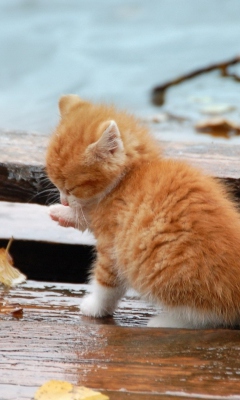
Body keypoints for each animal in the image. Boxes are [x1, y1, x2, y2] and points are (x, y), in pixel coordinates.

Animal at [46, 94, 240, 328]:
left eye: (70, 188)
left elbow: (107, 284)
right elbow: (86, 215)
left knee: (209, 316)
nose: (63, 200)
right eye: (56, 185)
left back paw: (165, 321)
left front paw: (94, 308)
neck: (128, 177)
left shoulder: (113, 246)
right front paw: (62, 213)